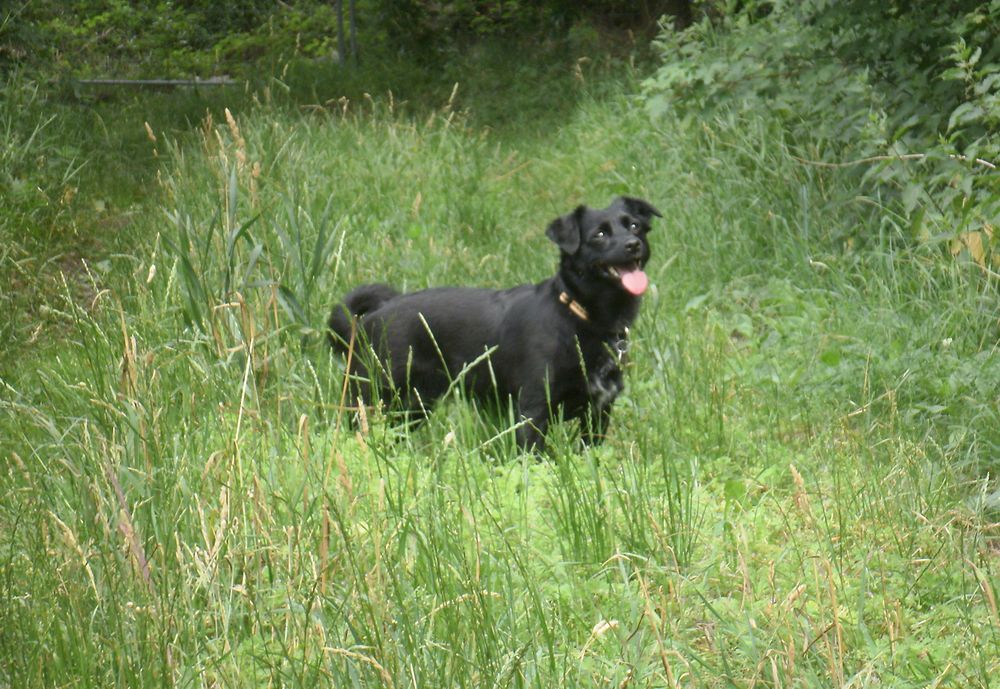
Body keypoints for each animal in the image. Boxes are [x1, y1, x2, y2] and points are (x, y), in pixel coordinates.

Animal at [324, 196, 660, 448]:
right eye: (599, 235)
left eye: (635, 226)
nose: (633, 244)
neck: (582, 318)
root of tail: (369, 319)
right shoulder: (532, 412)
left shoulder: (598, 413)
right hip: (369, 398)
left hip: (415, 405)